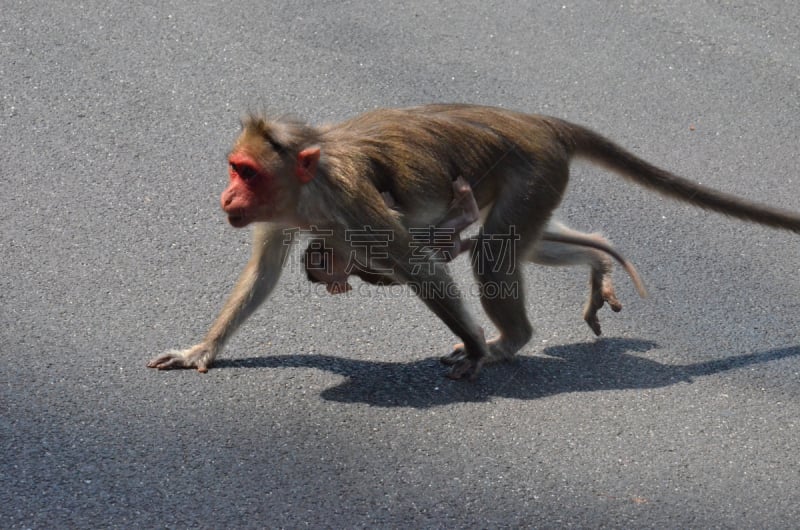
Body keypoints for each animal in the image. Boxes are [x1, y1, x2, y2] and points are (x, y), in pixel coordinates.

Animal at [150, 103, 800, 378]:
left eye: (246, 172)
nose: (226, 197)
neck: (313, 182)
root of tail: (540, 124)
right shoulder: (289, 214)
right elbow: (261, 276)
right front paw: (204, 349)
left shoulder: (352, 201)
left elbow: (419, 266)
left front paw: (473, 348)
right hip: (537, 183)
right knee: (521, 245)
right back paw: (596, 257)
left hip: (532, 171)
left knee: (493, 252)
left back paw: (509, 341)